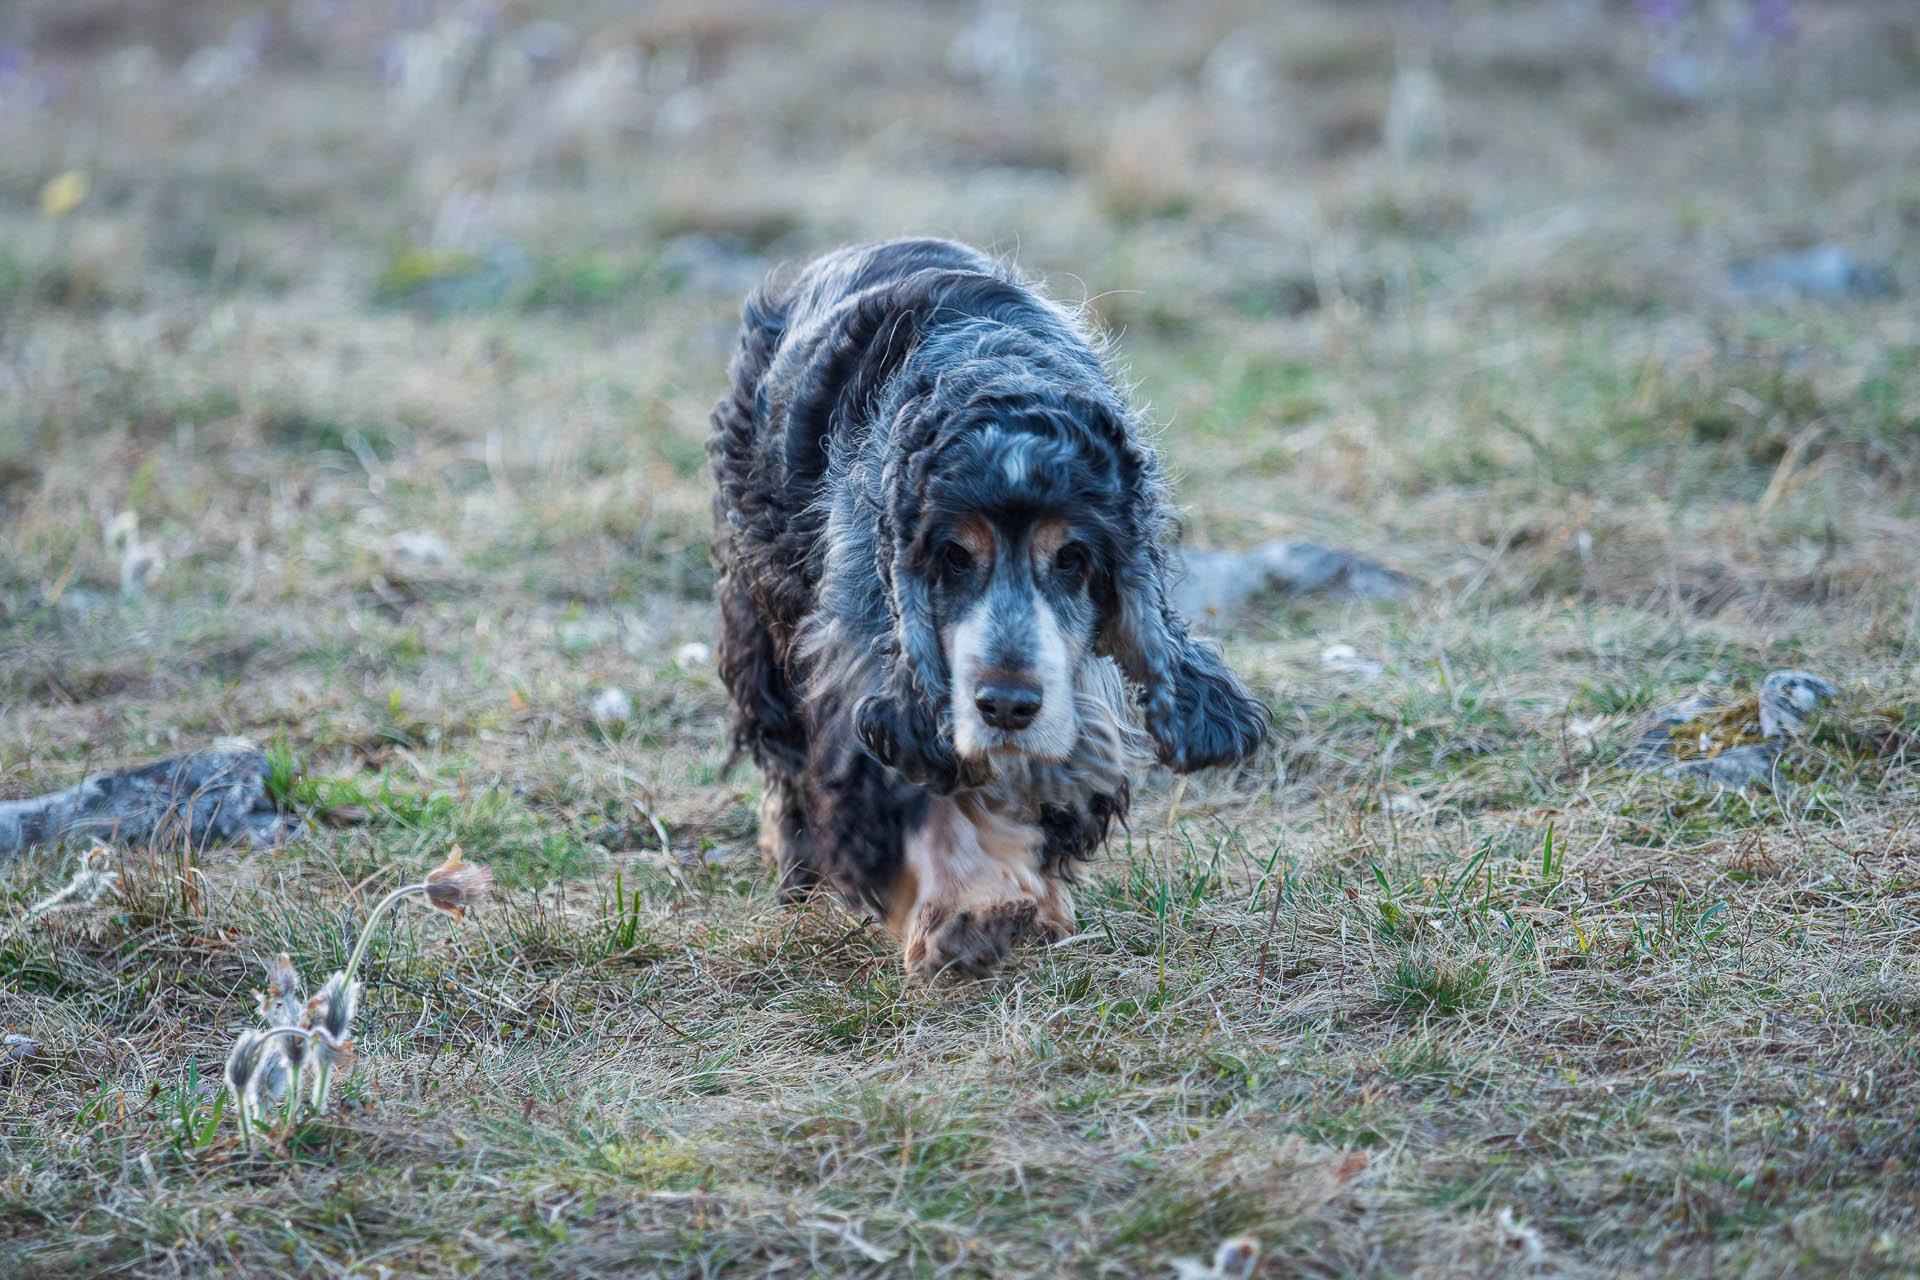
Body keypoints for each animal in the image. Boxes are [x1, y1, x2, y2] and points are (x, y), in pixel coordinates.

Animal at [714, 239, 1267, 982]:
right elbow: (923, 791)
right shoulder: (869, 655)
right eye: (954, 554)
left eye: (1072, 557)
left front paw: (1038, 900)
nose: (1006, 706)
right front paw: (970, 912)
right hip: (759, 600)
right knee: (782, 751)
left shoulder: (1071, 679)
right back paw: (799, 871)